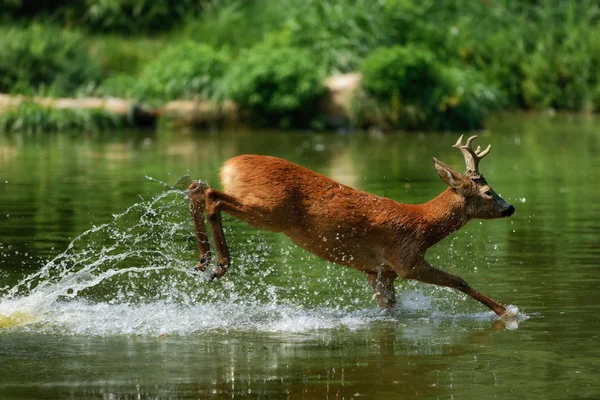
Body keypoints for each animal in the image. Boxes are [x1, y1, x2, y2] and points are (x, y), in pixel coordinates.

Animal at [188, 136, 516, 318]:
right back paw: (220, 264)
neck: (423, 224)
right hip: (270, 211)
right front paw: (507, 312)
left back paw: (203, 260)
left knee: (197, 187)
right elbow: (460, 280)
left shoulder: (379, 271)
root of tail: (229, 166)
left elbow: (390, 308)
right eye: (489, 192)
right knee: (212, 197)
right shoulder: (405, 259)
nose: (510, 207)